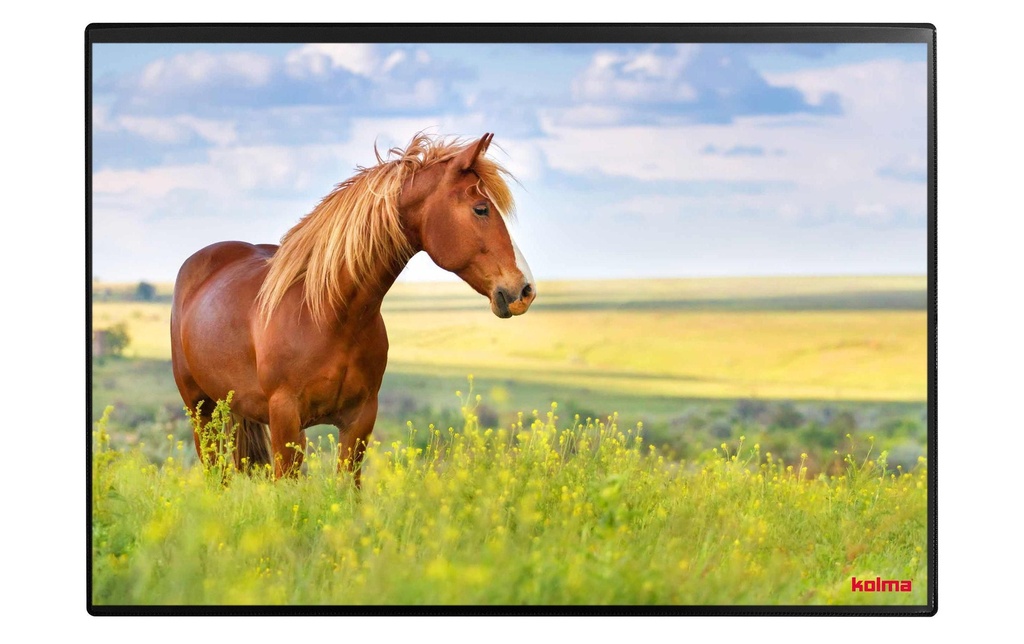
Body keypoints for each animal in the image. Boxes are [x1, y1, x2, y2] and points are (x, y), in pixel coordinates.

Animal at [170, 133, 536, 482]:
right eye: (481, 208)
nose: (525, 290)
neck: (329, 315)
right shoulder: (285, 420)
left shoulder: (359, 420)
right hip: (201, 411)